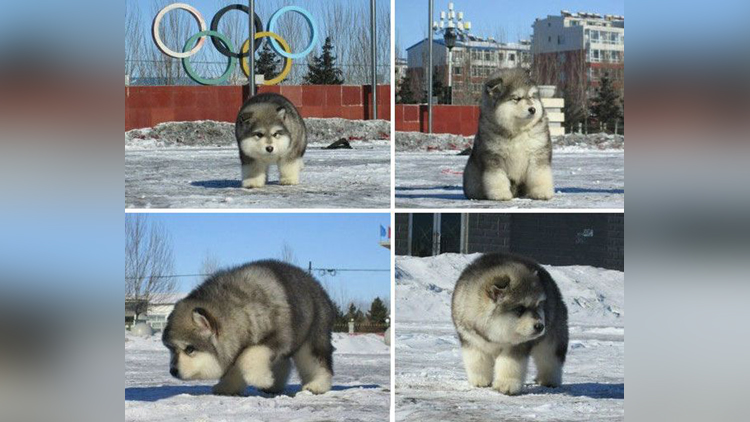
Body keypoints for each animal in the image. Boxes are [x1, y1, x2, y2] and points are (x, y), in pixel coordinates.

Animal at [164, 260, 334, 396]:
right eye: (171, 349)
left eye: (189, 349)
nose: (173, 371)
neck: (240, 310)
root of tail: (315, 283)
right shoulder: (236, 345)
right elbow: (237, 366)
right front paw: (228, 387)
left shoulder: (280, 338)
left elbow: (248, 356)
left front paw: (262, 379)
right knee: (283, 363)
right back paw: (274, 385)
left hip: (312, 337)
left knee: (318, 362)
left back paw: (317, 385)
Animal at [452, 252, 568, 394]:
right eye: (520, 309)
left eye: (538, 305)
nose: (540, 326)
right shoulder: (471, 340)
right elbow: (476, 361)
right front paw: (480, 380)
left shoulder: (517, 345)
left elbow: (509, 364)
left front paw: (506, 384)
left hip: (553, 338)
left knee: (550, 359)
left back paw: (549, 380)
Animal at [464, 68, 560, 200]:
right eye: (516, 98)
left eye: (531, 97)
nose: (533, 109)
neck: (517, 131)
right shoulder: (493, 155)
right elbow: (496, 177)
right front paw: (500, 193)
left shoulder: (537, 152)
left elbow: (539, 174)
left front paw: (542, 192)